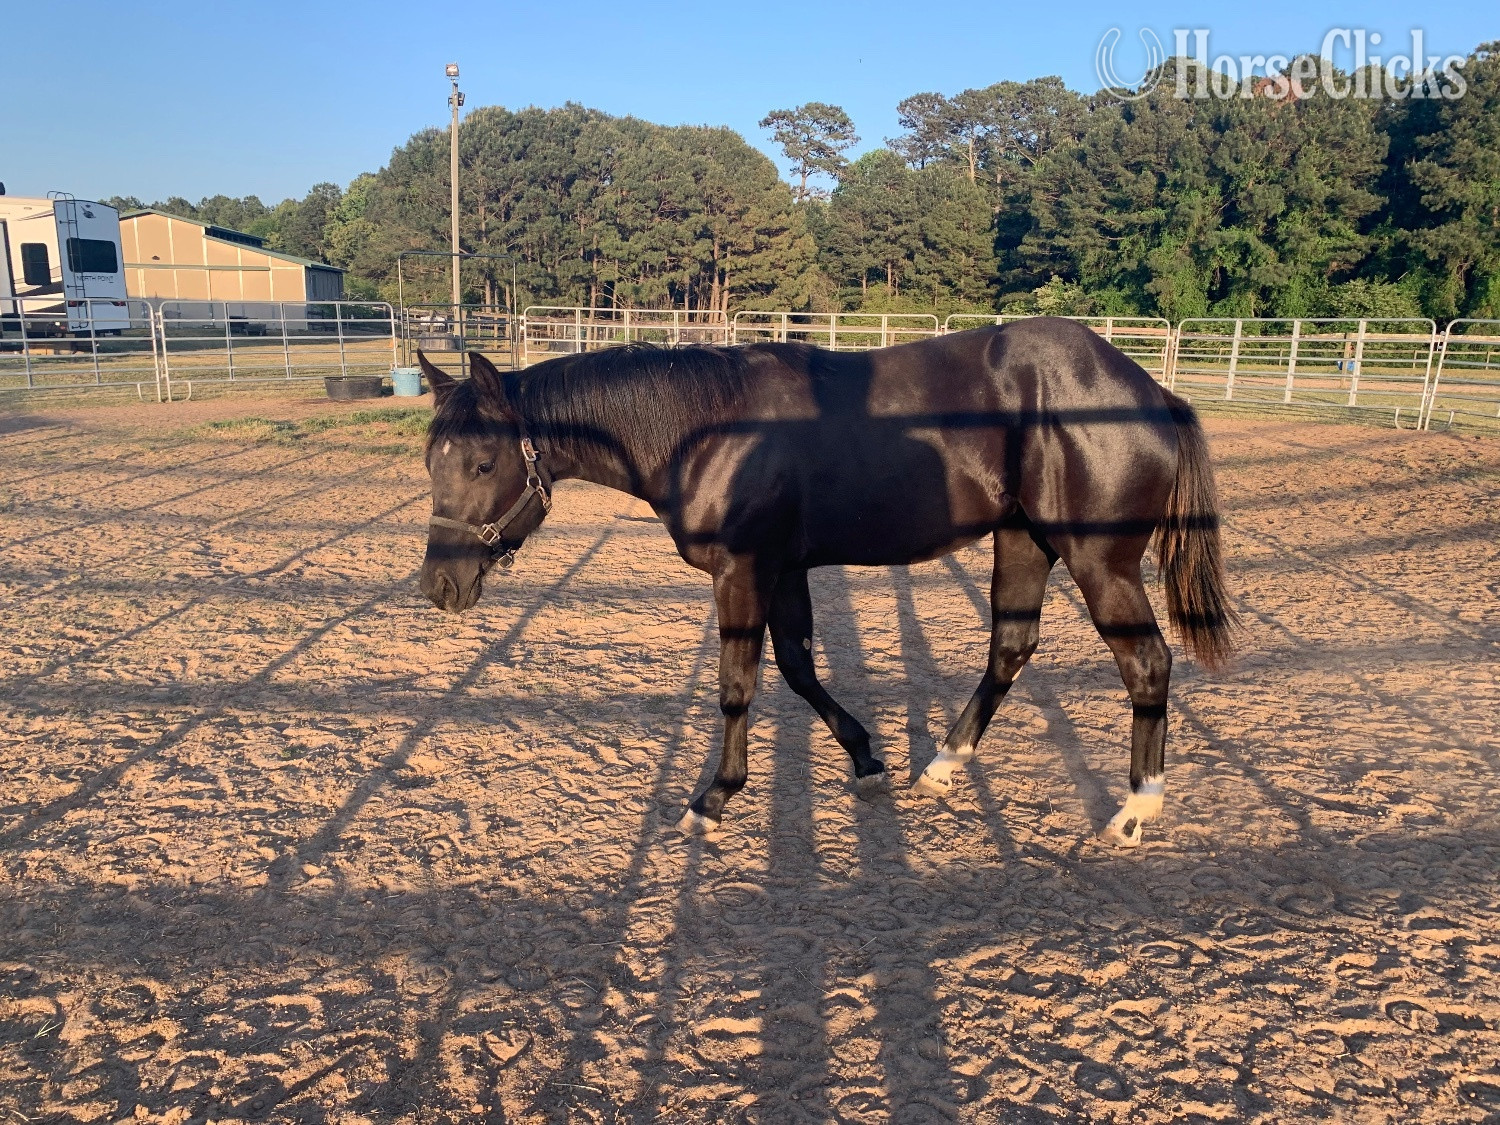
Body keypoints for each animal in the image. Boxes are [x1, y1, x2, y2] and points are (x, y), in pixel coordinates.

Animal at [415, 318, 1237, 848]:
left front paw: (712, 798)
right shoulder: (784, 571)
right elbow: (798, 669)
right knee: (1011, 647)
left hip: (1100, 562)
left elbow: (738, 685)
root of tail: (1151, 390)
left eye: (484, 463)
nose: (439, 585)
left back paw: (1137, 809)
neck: (708, 430)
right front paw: (867, 760)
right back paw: (942, 765)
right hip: (1023, 540)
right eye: (432, 460)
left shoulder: (743, 571)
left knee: (1146, 664)